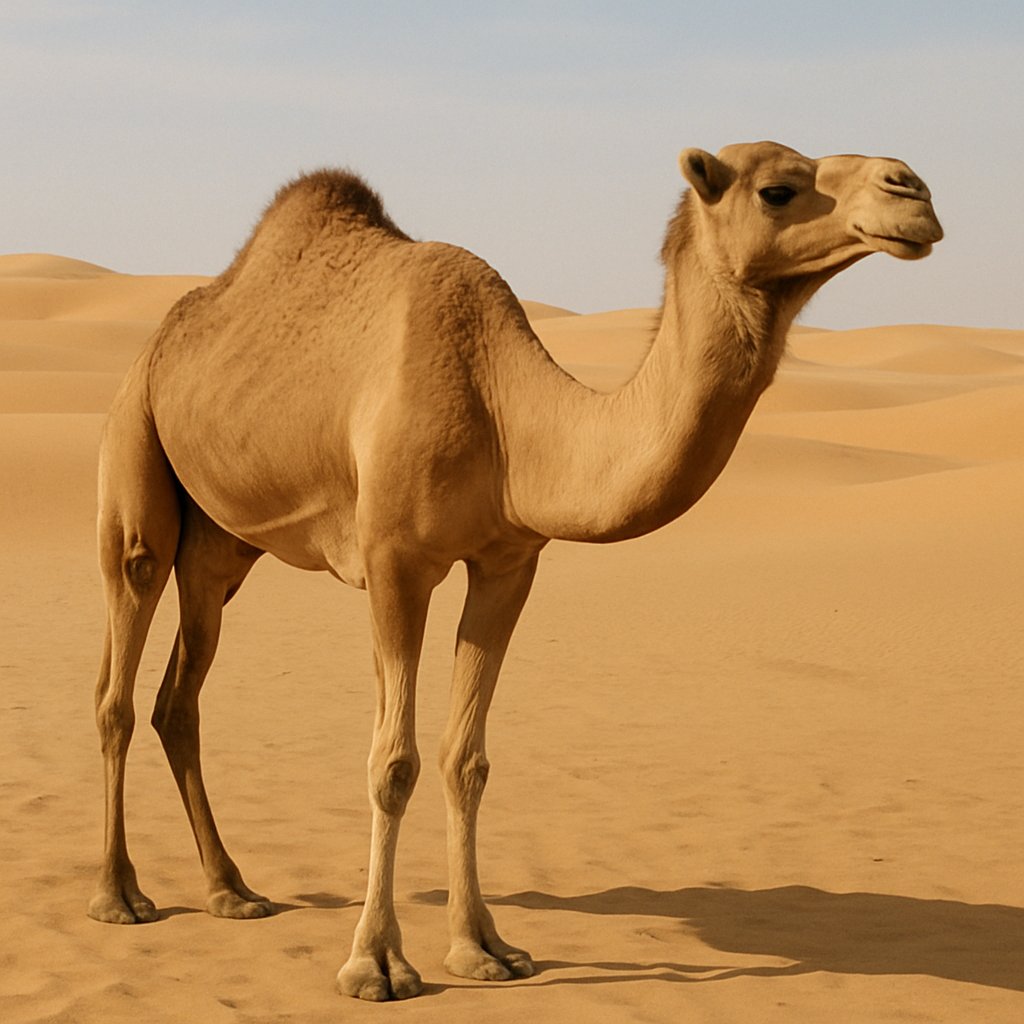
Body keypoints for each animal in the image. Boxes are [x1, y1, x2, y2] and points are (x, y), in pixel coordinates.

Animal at [87, 141, 942, 1000]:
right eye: (777, 190)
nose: (913, 190)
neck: (505, 412)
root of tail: (160, 340)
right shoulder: (393, 561)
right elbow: (392, 761)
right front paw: (377, 963)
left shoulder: (508, 564)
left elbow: (467, 758)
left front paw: (483, 948)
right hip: (135, 453)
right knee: (120, 668)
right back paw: (120, 896)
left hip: (223, 545)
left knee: (179, 697)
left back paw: (231, 889)